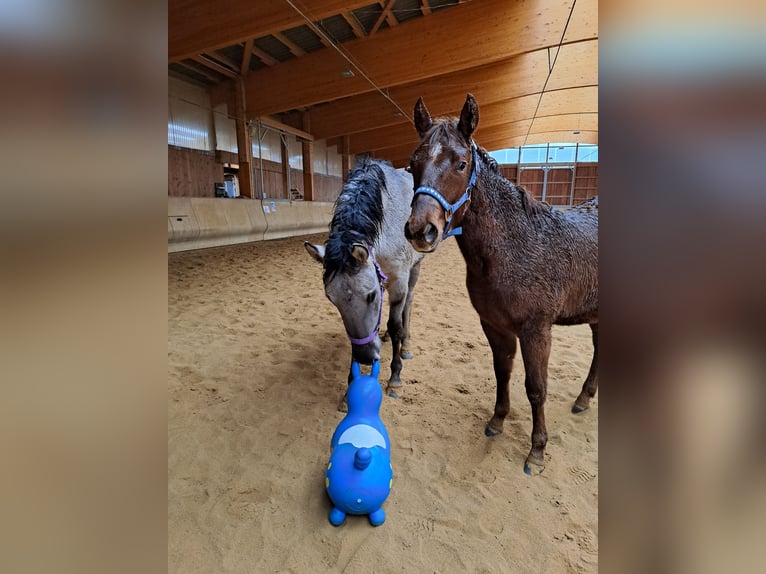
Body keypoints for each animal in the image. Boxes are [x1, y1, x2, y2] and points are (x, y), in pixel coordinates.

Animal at [306, 155, 426, 402]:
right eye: (332, 300)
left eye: (371, 296)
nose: (365, 358)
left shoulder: (398, 283)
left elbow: (395, 325)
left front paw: (395, 378)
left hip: (415, 269)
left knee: (408, 304)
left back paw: (406, 346)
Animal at [404, 93, 596, 472]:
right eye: (412, 163)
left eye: (462, 163)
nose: (421, 230)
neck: (515, 247)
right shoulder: (493, 324)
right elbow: (502, 371)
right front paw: (497, 421)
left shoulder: (537, 330)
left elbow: (536, 387)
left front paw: (537, 450)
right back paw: (584, 398)